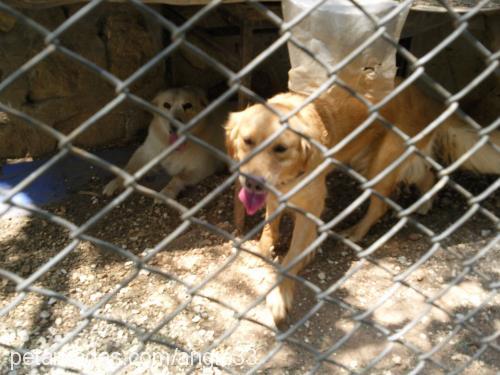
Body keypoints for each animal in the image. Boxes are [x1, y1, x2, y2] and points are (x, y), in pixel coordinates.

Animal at [226, 83, 500, 324]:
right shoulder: (274, 197)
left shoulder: (311, 207)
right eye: (247, 141)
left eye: (281, 149)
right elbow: (269, 227)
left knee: (381, 206)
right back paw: (425, 202)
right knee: (426, 174)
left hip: (379, 165)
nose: (252, 183)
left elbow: (291, 257)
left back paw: (356, 232)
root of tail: (428, 98)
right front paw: (264, 249)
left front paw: (280, 295)